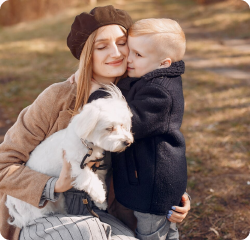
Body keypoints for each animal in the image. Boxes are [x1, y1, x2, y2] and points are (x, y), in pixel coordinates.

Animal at [5, 84, 133, 229]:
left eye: (122, 125)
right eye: (109, 128)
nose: (127, 142)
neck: (87, 144)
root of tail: (11, 201)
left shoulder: (97, 167)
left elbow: (99, 181)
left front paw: (101, 202)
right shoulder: (77, 166)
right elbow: (90, 180)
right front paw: (100, 196)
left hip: (59, 200)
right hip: (39, 209)